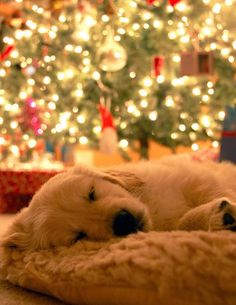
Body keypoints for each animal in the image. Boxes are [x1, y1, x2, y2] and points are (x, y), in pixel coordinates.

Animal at [1, 154, 236, 249]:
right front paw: (219, 217)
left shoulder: (196, 179)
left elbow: (210, 192)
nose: (123, 221)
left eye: (92, 193)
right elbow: (184, 222)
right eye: (78, 237)